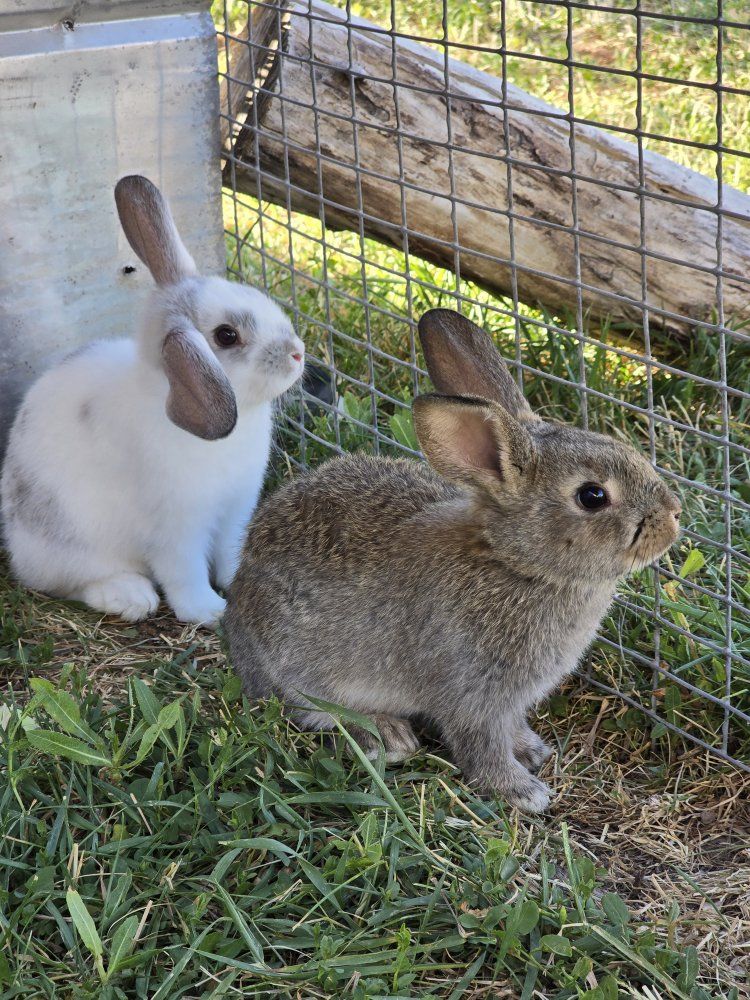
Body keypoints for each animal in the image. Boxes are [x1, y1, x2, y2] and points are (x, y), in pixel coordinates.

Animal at [0, 175, 305, 625]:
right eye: (227, 336)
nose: (298, 353)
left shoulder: (235, 509)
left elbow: (230, 553)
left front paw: (239, 582)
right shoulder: (176, 529)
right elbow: (184, 573)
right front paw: (209, 611)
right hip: (74, 548)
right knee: (71, 582)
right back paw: (129, 597)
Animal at [224, 309, 681, 812]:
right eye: (592, 496)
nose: (673, 516)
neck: (515, 564)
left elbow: (510, 729)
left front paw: (532, 750)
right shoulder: (471, 694)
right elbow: (480, 745)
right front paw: (523, 791)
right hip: (297, 667)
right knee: (306, 708)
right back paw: (388, 735)